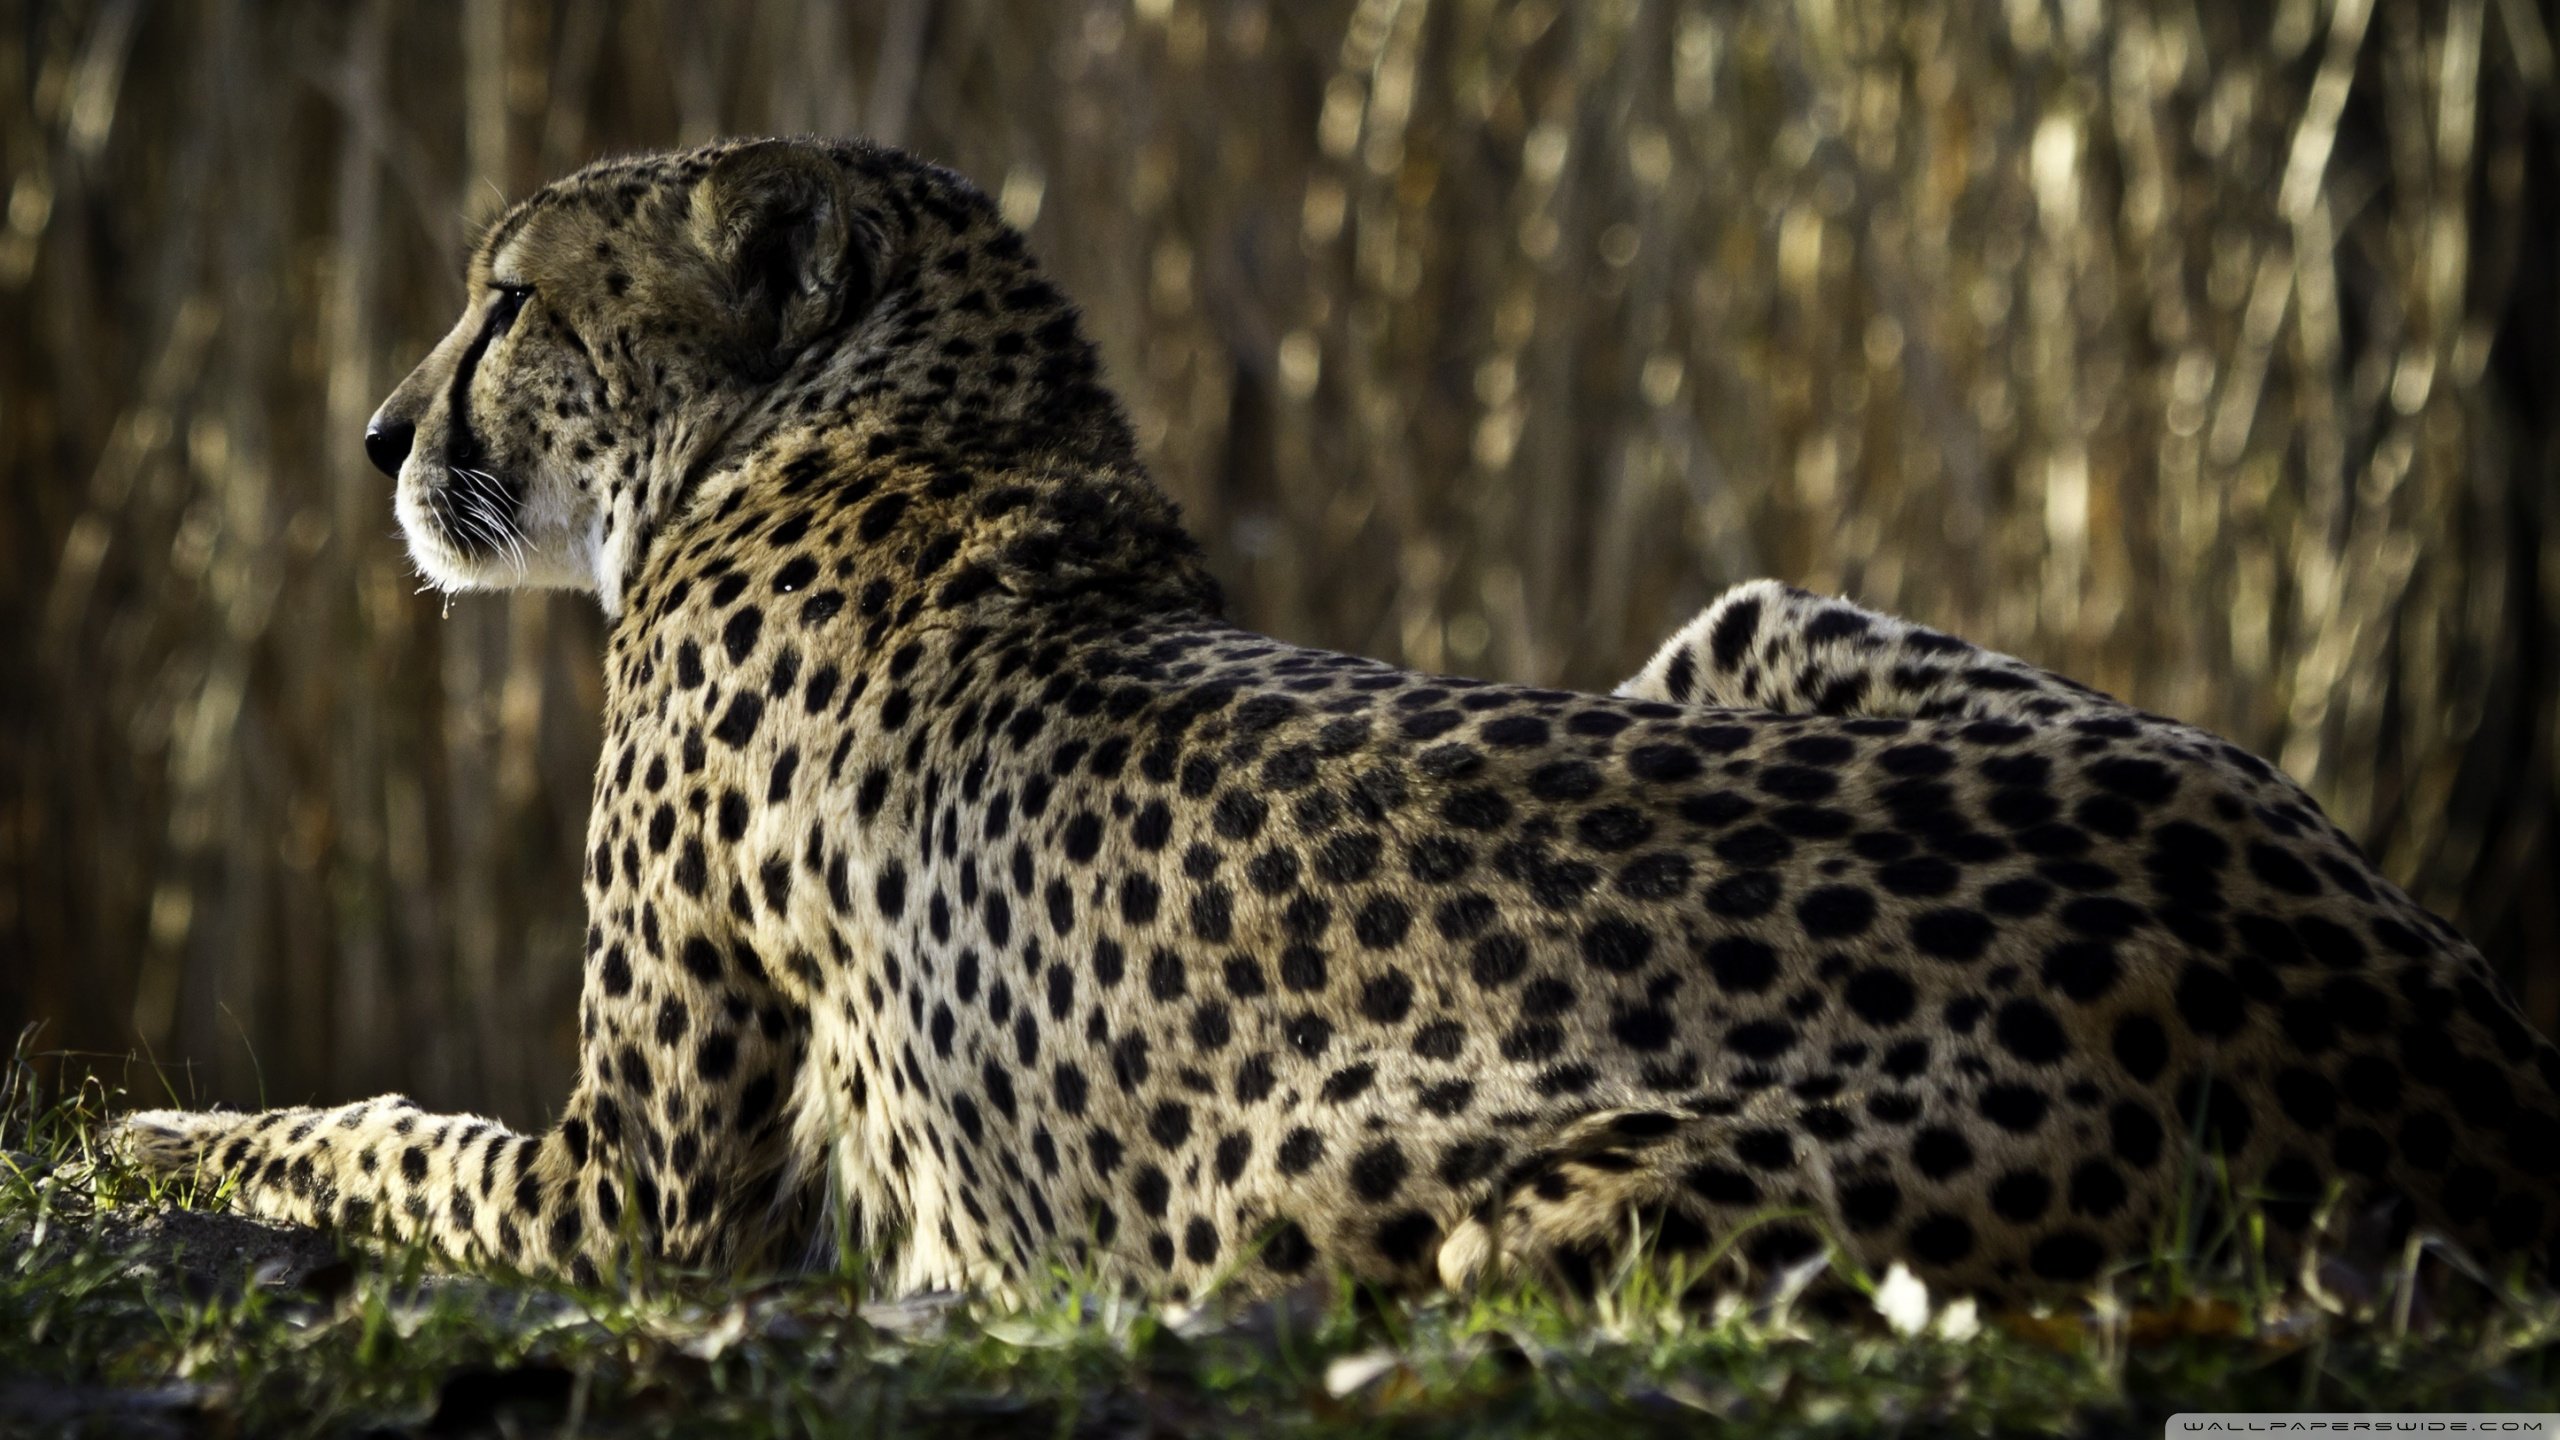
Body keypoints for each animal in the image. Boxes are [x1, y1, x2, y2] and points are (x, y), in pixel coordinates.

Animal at [114, 136, 2560, 1308]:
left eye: (509, 299)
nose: (370, 438)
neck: (881, 416)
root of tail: (2428, 1030)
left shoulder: (638, 1195)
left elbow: (368, 1133)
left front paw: (144, 1135)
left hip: (1409, 1202)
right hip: (1760, 621)